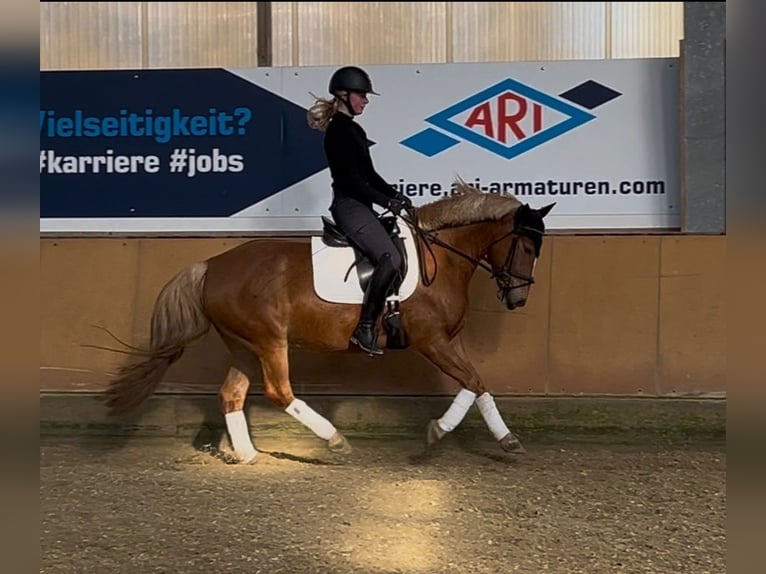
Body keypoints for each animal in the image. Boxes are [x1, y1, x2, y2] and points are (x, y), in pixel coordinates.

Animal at [103, 180, 554, 463]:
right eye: (526, 246)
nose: (518, 298)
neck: (441, 257)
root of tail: (212, 265)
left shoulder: (449, 339)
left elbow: (475, 383)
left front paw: (503, 440)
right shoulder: (432, 341)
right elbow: (473, 381)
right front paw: (441, 432)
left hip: (244, 345)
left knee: (231, 394)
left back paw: (246, 455)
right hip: (270, 341)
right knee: (279, 392)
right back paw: (335, 442)